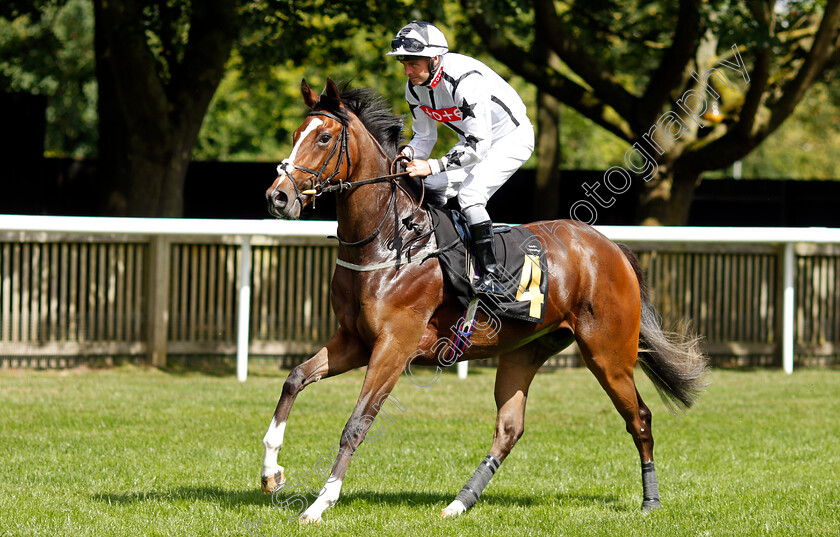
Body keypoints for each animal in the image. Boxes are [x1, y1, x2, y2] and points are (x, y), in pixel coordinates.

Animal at [262, 77, 708, 520]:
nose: (278, 197)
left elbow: (357, 423)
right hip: (523, 351)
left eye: (323, 137)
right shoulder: (354, 341)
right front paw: (271, 472)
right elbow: (294, 378)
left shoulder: (394, 346)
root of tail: (612, 247)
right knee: (509, 428)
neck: (391, 239)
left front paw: (320, 503)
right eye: (295, 134)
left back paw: (651, 499)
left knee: (640, 417)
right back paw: (459, 502)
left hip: (608, 354)